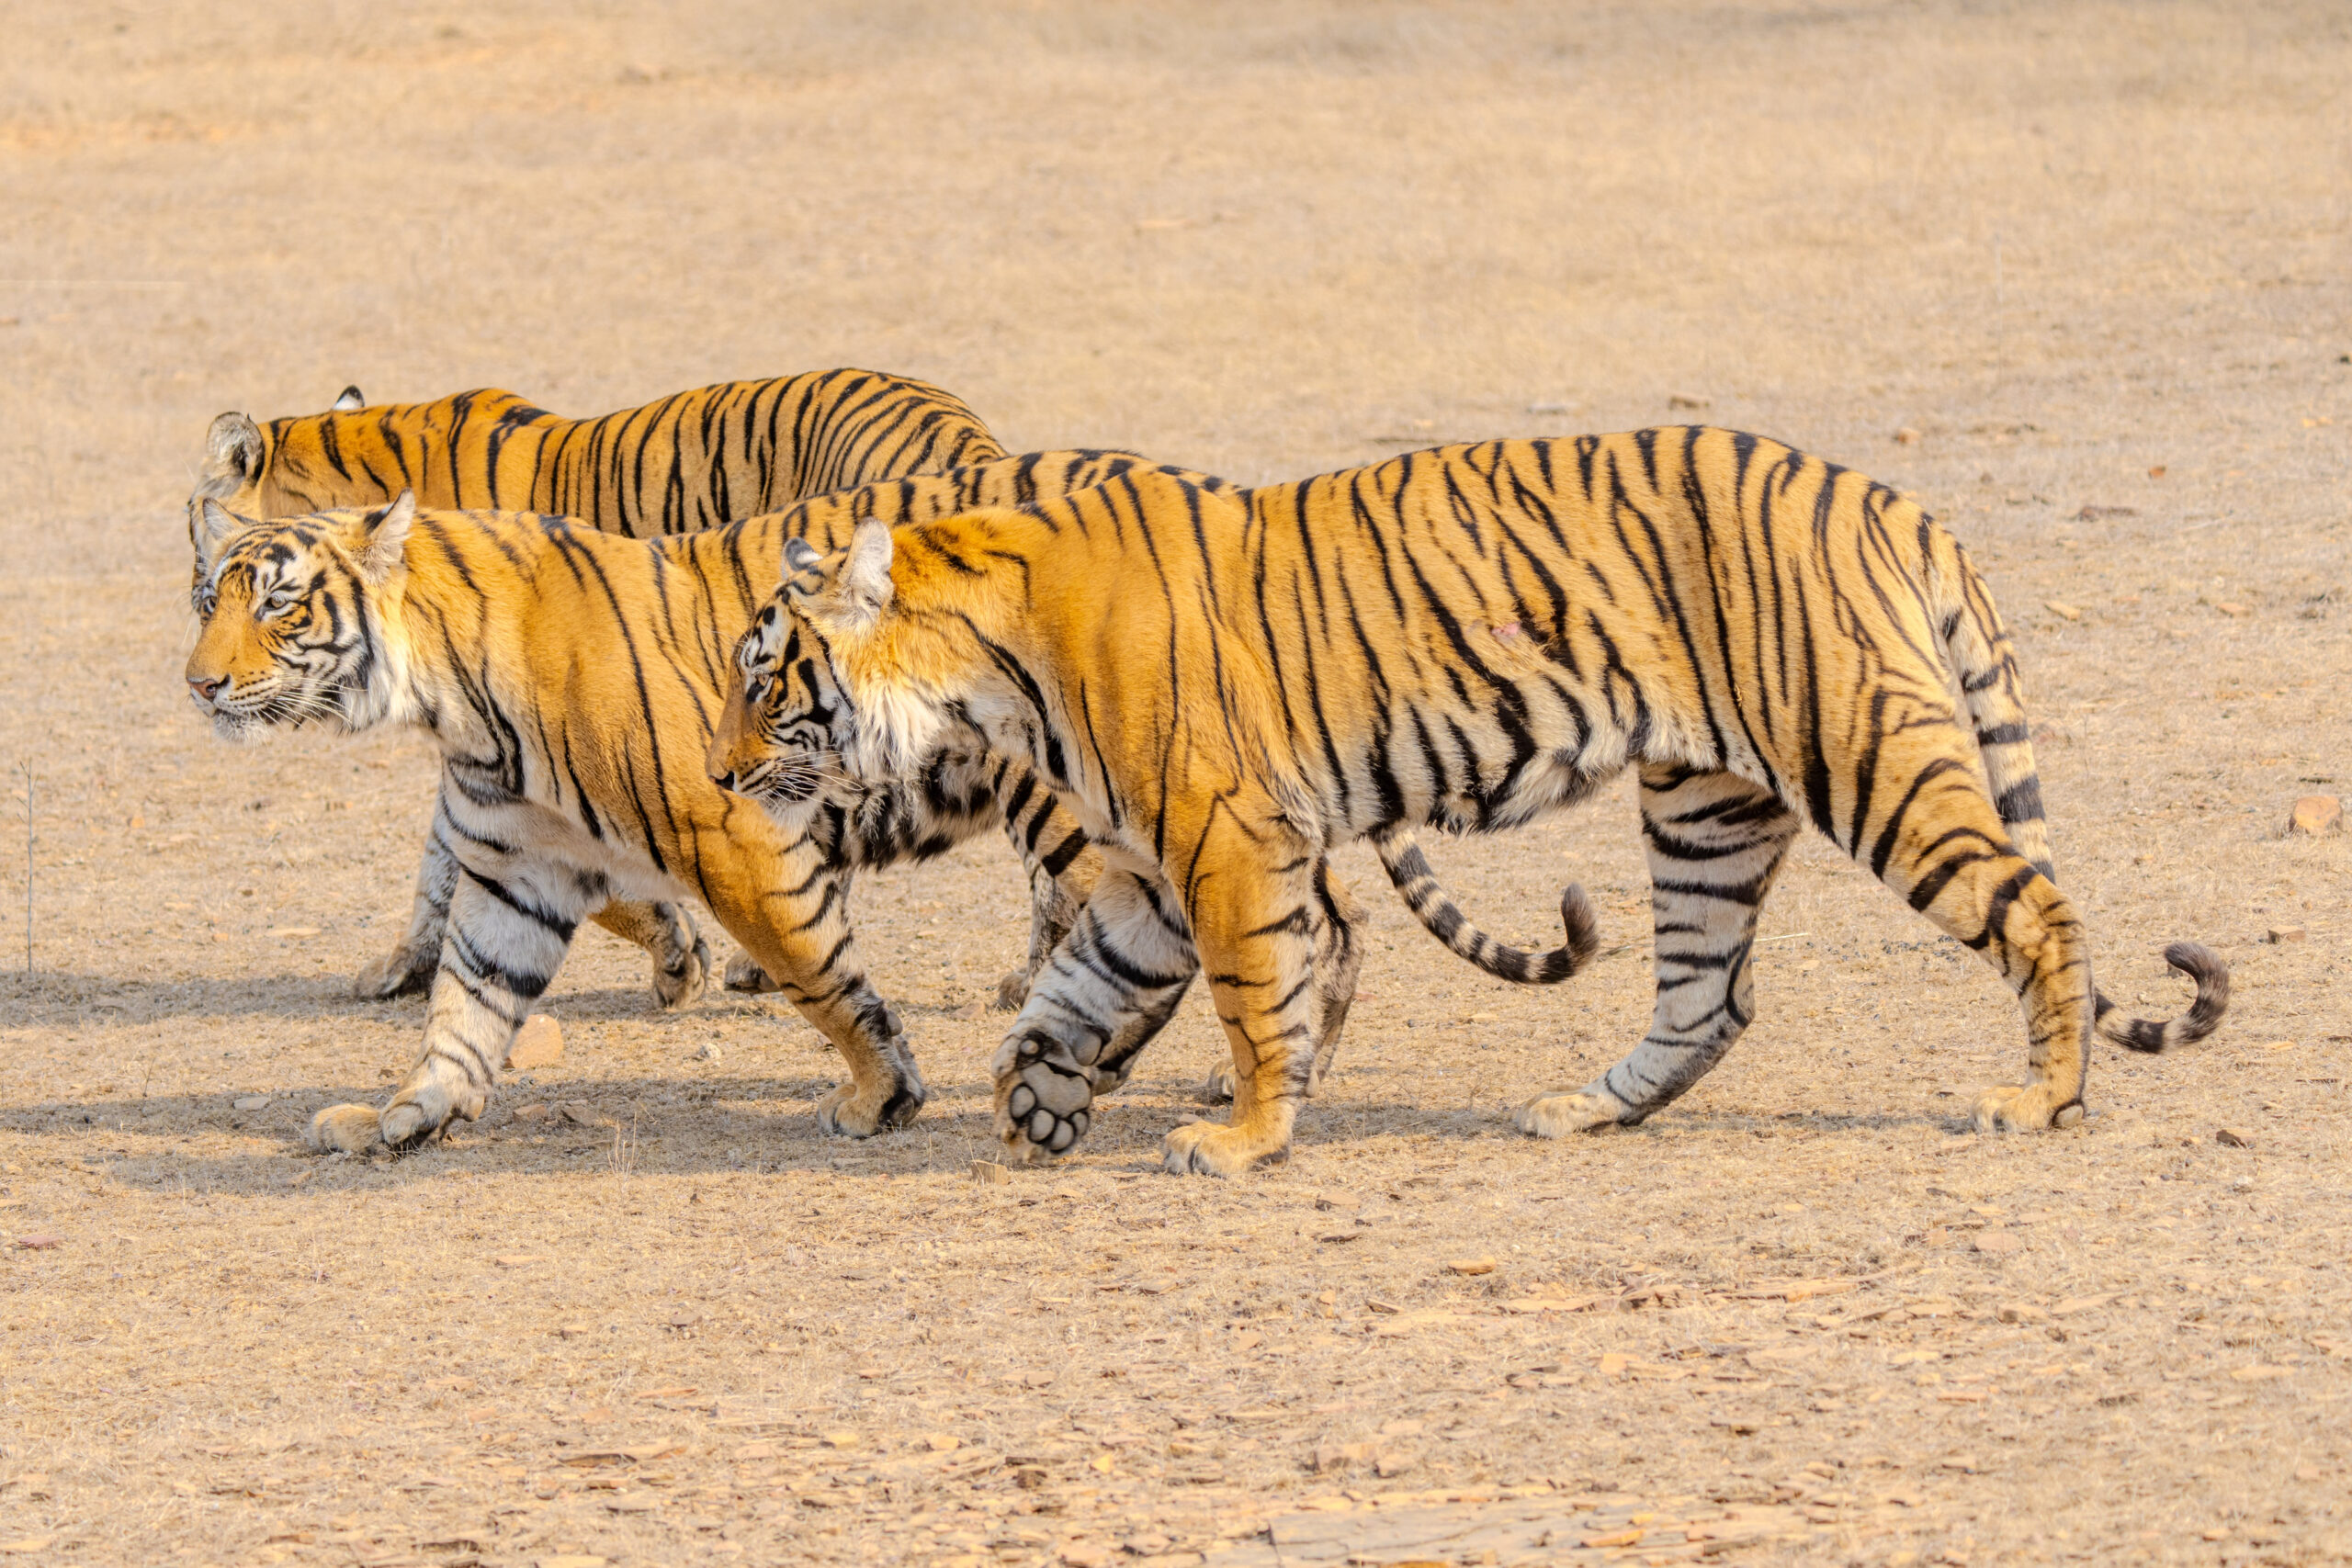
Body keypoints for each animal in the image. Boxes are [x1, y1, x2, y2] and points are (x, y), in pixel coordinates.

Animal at [721, 430, 2230, 1176]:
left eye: (766, 680)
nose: (723, 774)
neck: (987, 665)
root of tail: (1884, 497)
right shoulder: (1151, 868)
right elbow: (1071, 993)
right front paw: (1038, 1102)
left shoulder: (1226, 840)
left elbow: (1253, 1000)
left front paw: (1246, 1139)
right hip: (1706, 806)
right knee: (1710, 996)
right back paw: (1584, 1113)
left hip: (1866, 755)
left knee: (2037, 907)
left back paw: (2042, 1102)